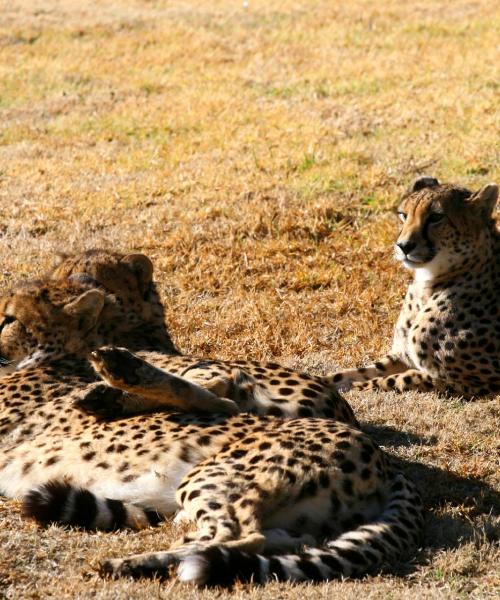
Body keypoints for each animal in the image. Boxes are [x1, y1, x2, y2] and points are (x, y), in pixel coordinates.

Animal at [332, 178, 500, 398]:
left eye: (436, 217)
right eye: (404, 215)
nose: (403, 246)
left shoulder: (481, 380)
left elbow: (399, 379)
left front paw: (357, 388)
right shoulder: (402, 356)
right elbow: (352, 373)